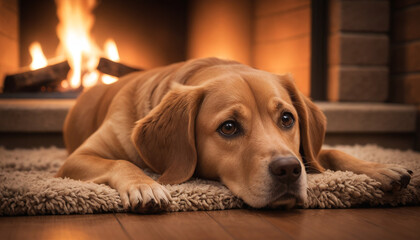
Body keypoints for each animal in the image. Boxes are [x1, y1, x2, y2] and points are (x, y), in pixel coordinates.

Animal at [55, 57, 410, 210]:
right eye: (228, 127)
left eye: (287, 119)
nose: (289, 170)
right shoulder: (77, 159)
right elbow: (122, 163)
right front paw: (145, 186)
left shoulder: (304, 151)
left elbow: (332, 153)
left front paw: (381, 169)